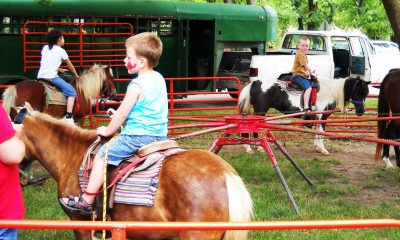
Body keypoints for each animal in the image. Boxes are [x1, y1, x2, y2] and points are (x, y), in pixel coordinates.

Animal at [239, 77, 370, 156]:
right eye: (358, 92)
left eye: (366, 93)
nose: (361, 111)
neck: (329, 92)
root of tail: (256, 82)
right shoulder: (322, 116)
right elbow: (321, 132)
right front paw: (323, 149)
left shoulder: (318, 117)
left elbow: (318, 132)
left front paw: (317, 147)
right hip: (260, 111)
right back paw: (251, 147)